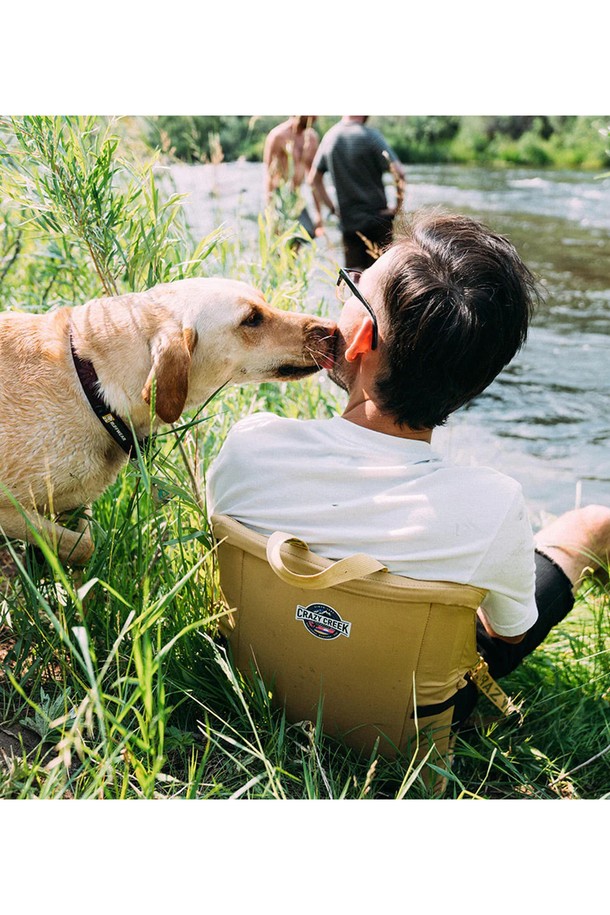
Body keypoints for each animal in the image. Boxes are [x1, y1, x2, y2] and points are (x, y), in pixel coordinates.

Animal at [0, 278, 334, 564]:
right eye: (251, 319)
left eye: (263, 302)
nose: (333, 330)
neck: (91, 386)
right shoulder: (11, 511)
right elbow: (84, 546)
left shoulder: (76, 503)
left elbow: (82, 547)